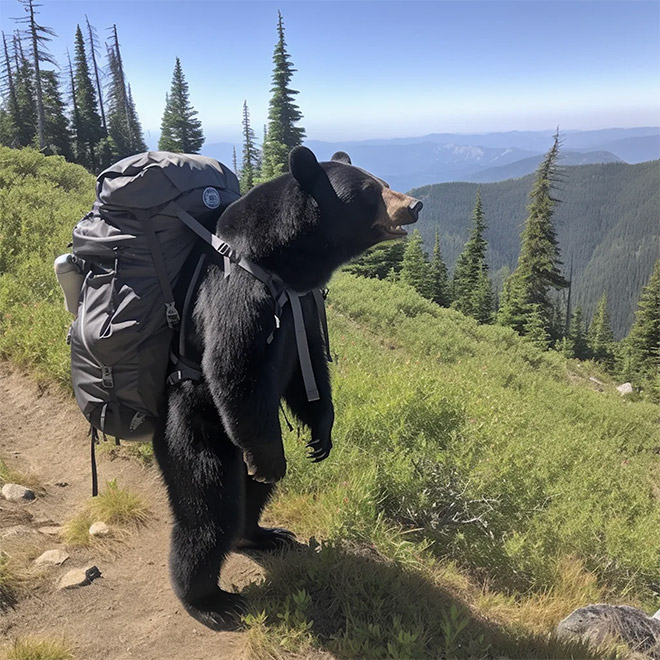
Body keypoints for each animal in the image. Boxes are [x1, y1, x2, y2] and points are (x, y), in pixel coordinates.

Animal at [152, 147, 420, 632]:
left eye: (384, 181)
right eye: (369, 191)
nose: (413, 204)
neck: (281, 263)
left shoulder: (304, 303)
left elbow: (308, 362)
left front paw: (322, 434)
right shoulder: (235, 286)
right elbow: (232, 363)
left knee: (254, 492)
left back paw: (262, 534)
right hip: (195, 427)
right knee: (209, 512)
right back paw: (207, 600)